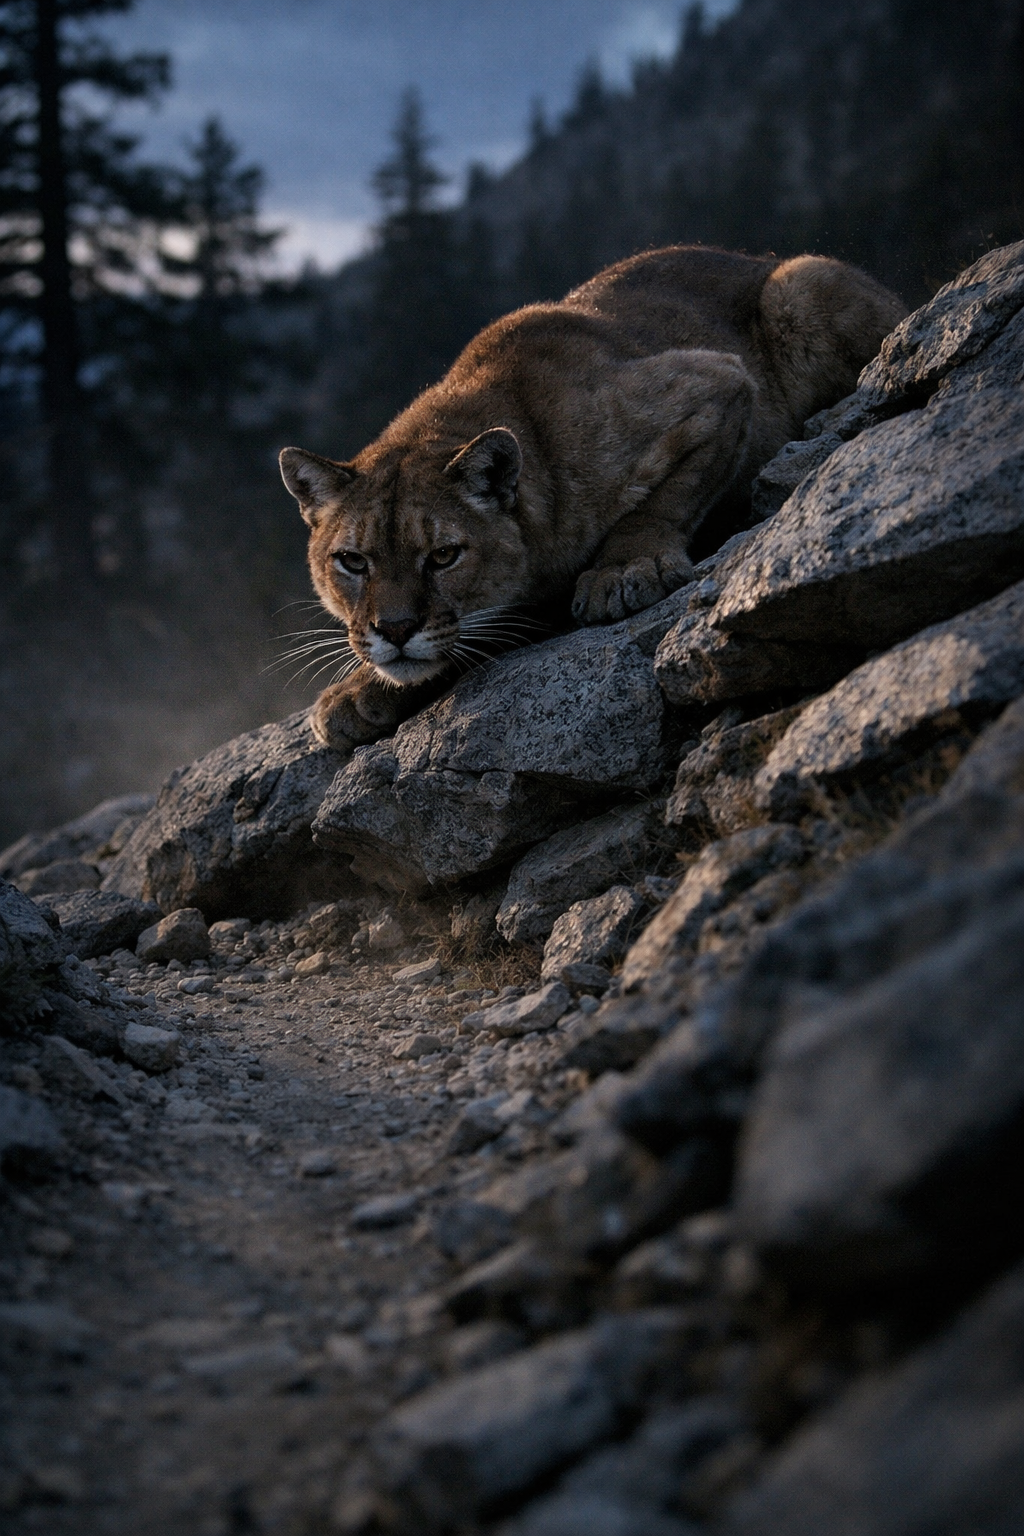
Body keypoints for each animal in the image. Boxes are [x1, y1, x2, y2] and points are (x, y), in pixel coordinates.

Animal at [279, 245, 905, 752]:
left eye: (442, 556)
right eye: (352, 562)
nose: (394, 631)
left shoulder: (717, 383)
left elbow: (661, 502)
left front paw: (624, 570)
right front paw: (359, 690)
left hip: (797, 283)